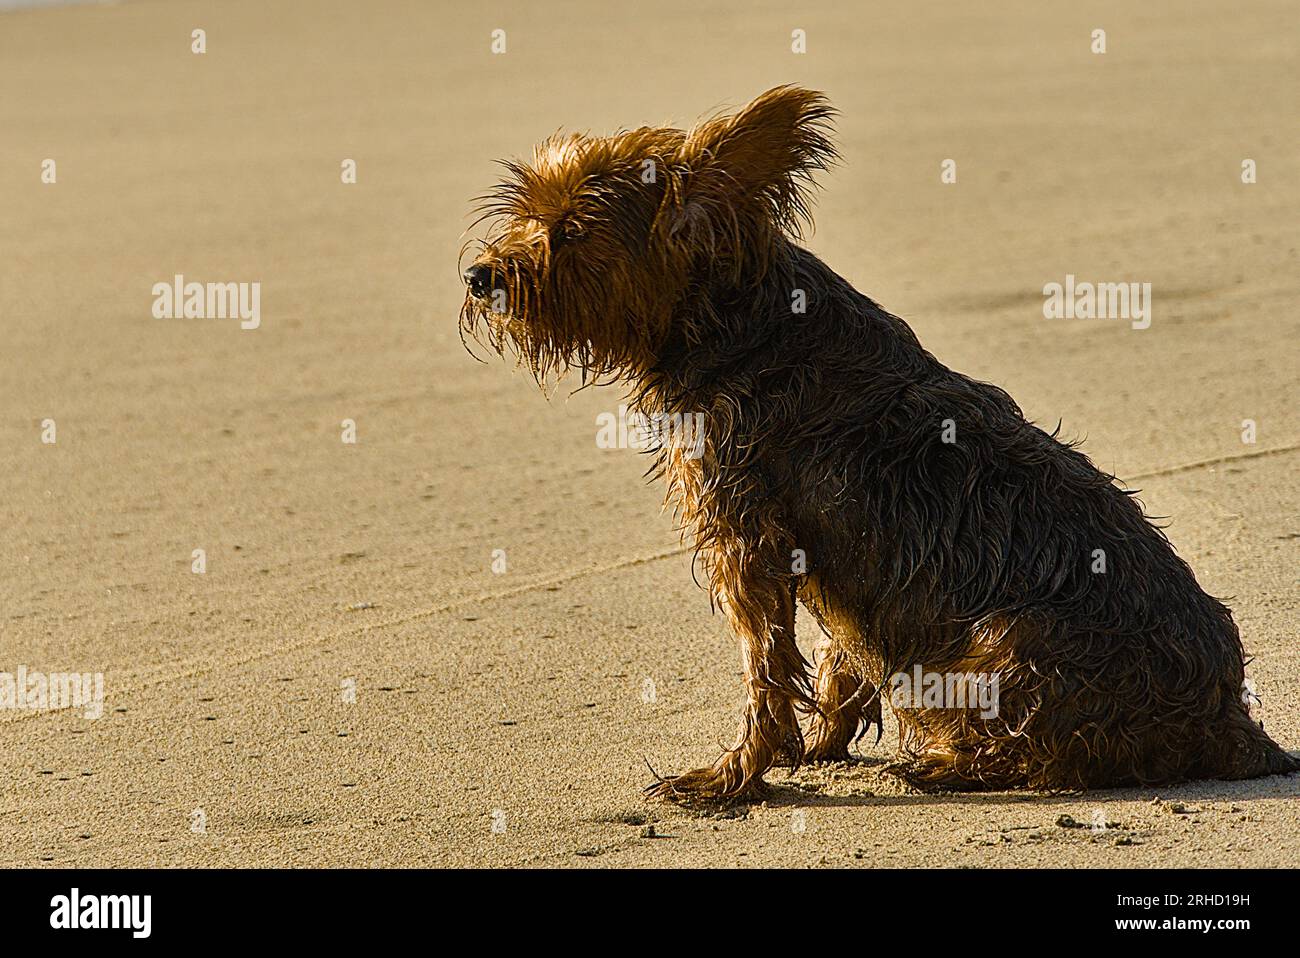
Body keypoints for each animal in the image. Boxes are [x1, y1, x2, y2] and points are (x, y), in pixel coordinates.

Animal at [462, 85, 1294, 795]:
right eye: (522, 210)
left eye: (571, 232)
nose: (480, 274)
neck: (738, 325)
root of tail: (1231, 723)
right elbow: (839, 656)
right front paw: (820, 745)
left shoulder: (744, 537)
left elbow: (764, 668)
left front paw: (737, 775)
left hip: (1000, 643)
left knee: (1040, 754)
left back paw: (946, 764)